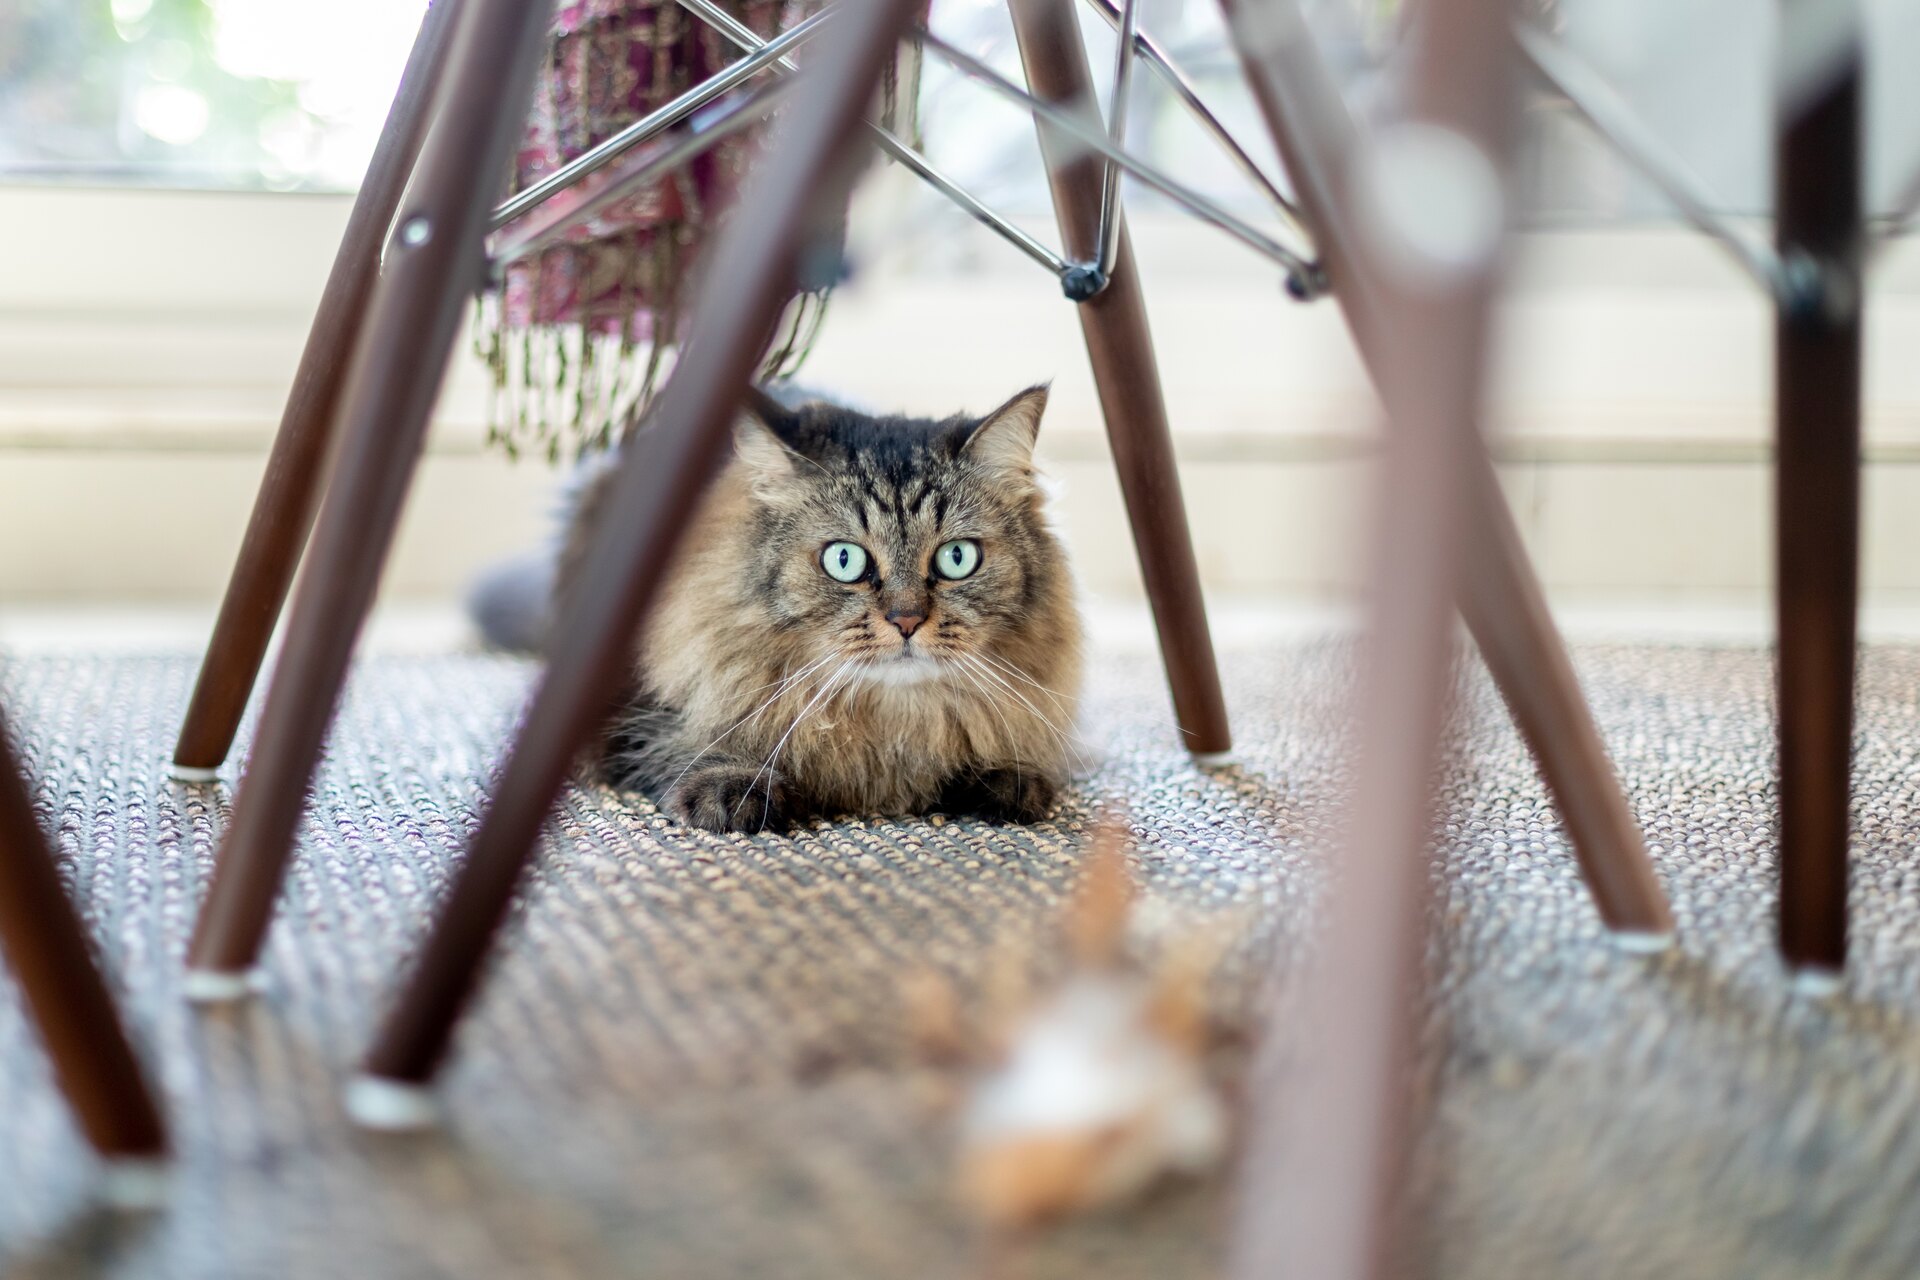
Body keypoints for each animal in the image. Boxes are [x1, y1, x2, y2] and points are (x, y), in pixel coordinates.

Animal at [556, 385, 1090, 836]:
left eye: (956, 558)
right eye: (844, 560)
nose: (907, 620)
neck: (892, 726)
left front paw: (1006, 780)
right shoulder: (632, 710)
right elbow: (687, 740)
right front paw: (734, 787)